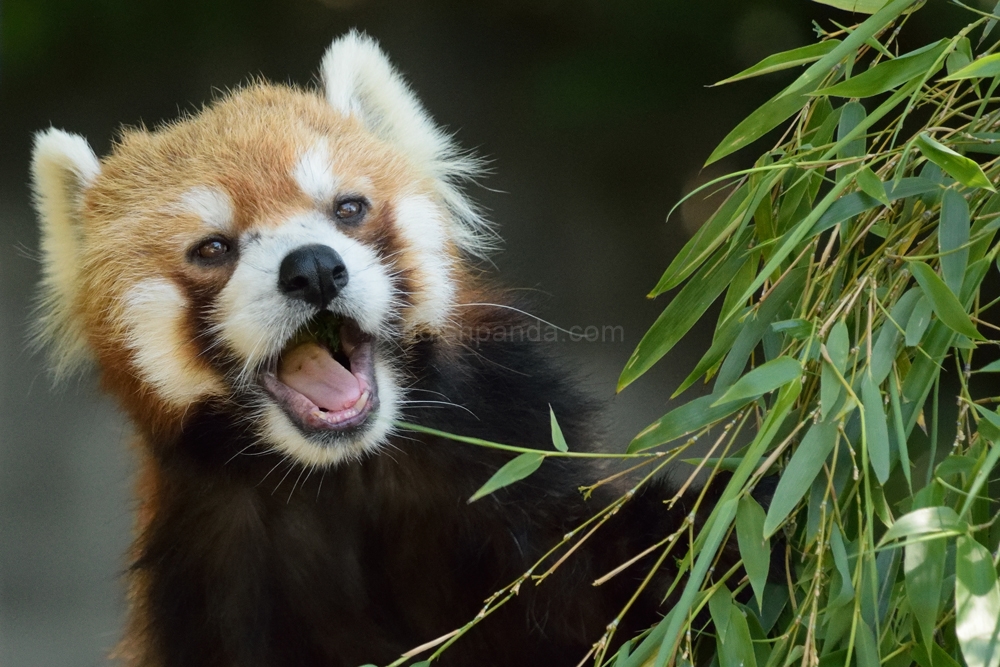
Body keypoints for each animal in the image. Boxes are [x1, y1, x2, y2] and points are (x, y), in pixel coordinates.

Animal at [31, 30, 736, 664]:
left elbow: (612, 574)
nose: (314, 268)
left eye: (347, 208)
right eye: (213, 248)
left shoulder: (515, 492)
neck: (348, 473)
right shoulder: (216, 587)